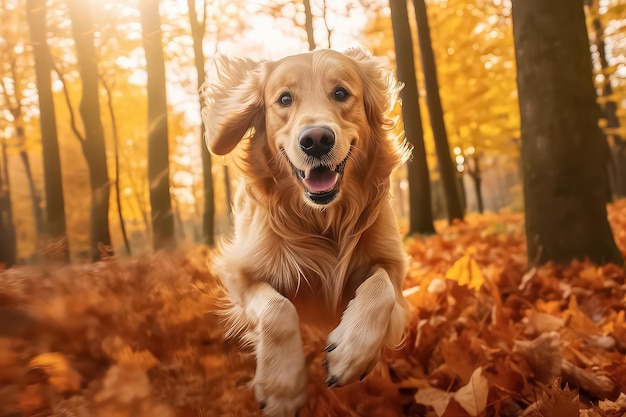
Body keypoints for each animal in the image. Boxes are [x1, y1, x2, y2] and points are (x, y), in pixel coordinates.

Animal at [202, 48, 412, 412]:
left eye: (340, 93)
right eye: (284, 99)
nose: (316, 140)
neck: (322, 220)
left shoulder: (393, 264)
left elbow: (380, 287)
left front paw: (351, 353)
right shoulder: (238, 273)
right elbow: (277, 309)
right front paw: (282, 387)